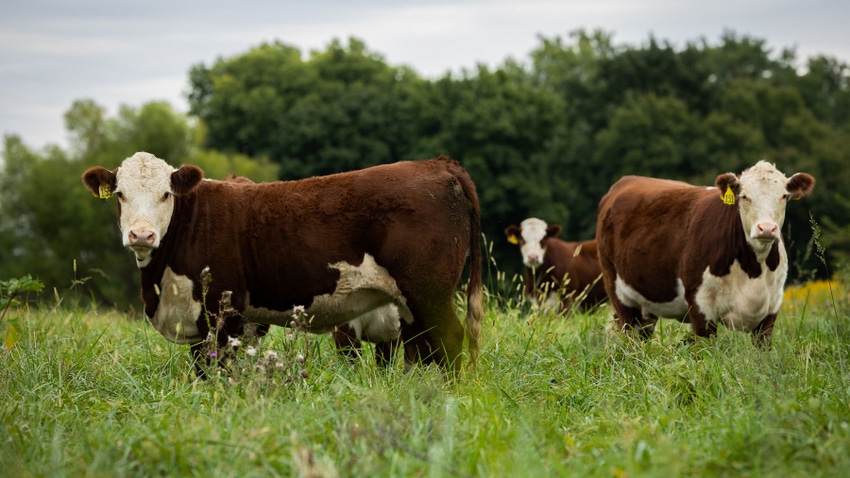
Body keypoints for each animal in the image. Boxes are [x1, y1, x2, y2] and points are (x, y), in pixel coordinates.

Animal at [82, 152, 480, 374]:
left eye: (166, 194)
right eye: (120, 194)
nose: (142, 234)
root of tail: (439, 165)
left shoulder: (222, 313)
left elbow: (218, 371)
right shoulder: (203, 321)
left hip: (428, 293)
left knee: (449, 341)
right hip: (411, 306)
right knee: (424, 350)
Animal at [592, 160, 812, 344]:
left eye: (784, 196)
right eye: (744, 196)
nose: (766, 228)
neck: (753, 270)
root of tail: (627, 180)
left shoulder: (771, 308)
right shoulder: (700, 304)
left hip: (646, 306)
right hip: (619, 294)